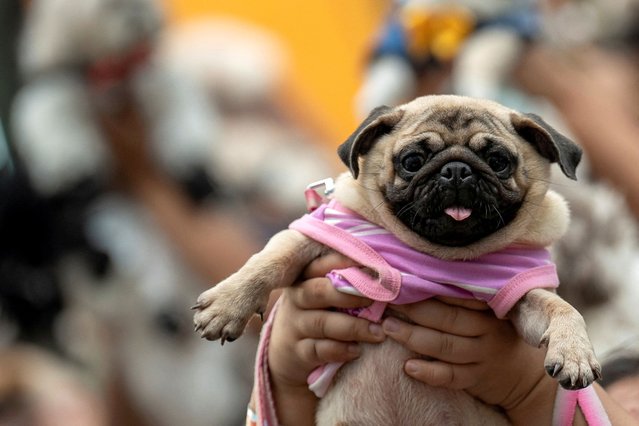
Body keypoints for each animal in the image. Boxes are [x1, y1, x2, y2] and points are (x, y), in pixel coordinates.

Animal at [190, 95, 600, 424]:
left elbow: (562, 309)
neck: (434, 255)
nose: (456, 169)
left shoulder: (522, 292)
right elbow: (269, 261)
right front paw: (227, 305)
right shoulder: (315, 234)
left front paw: (575, 353)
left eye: (498, 161)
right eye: (412, 160)